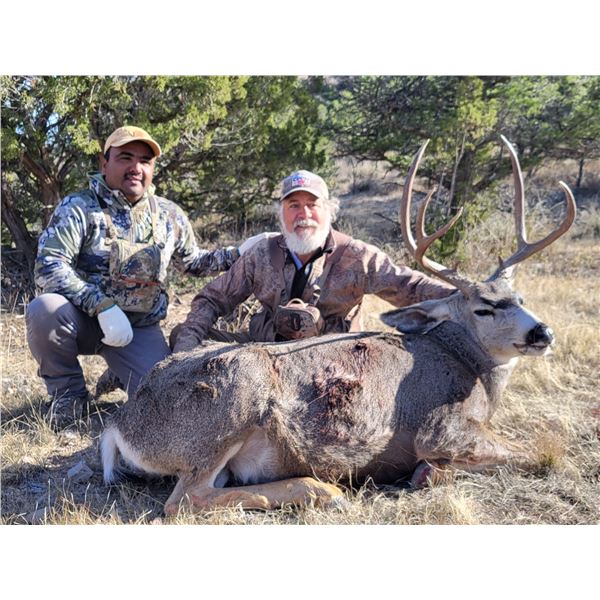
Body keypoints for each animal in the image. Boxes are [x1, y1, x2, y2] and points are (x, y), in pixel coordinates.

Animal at [100, 136, 576, 515]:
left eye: (521, 298)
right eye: (483, 308)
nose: (542, 333)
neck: (467, 366)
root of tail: (121, 426)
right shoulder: (440, 429)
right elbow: (539, 453)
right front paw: (427, 473)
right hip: (232, 401)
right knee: (185, 499)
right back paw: (323, 490)